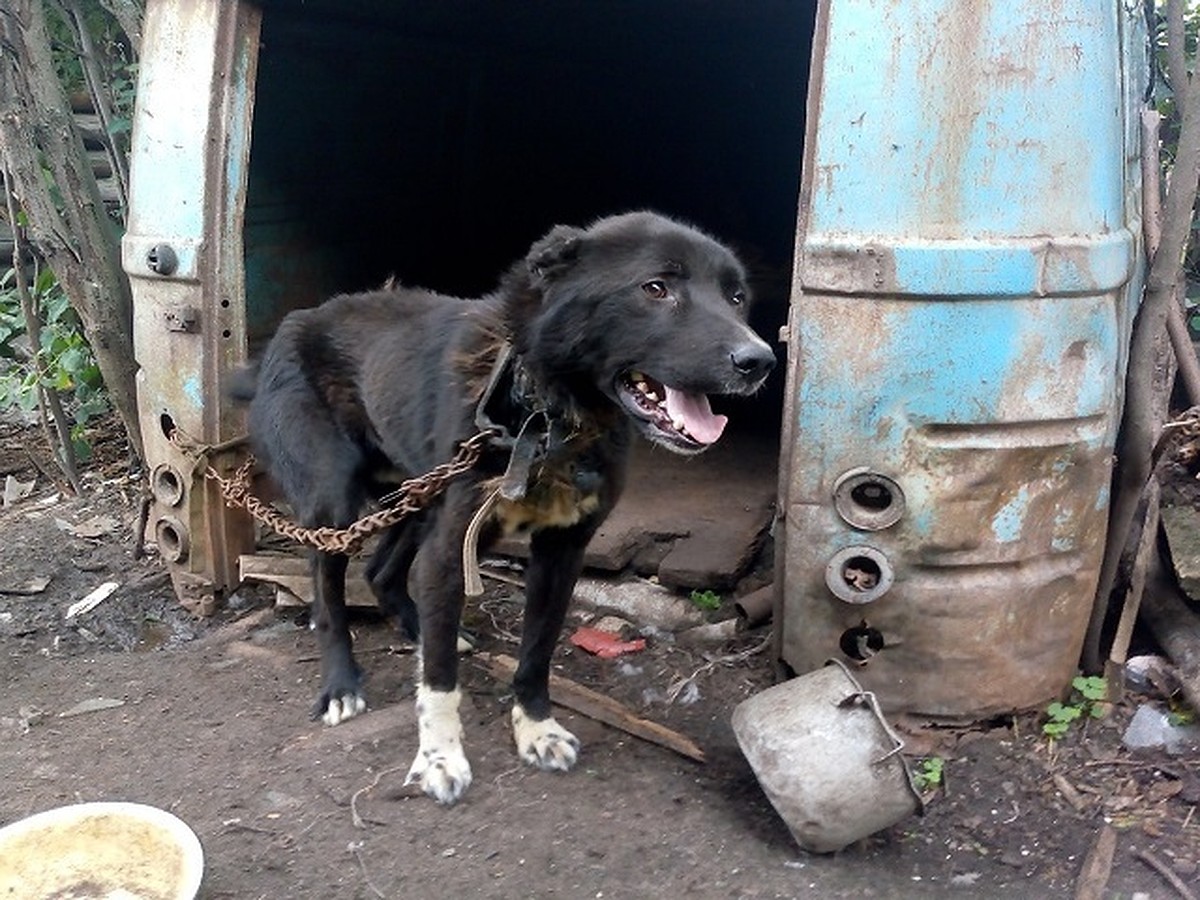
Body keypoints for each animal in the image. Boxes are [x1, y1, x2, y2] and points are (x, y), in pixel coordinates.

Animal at [238, 213, 772, 811]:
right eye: (656, 287)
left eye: (736, 297)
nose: (759, 361)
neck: (547, 417)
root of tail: (296, 320)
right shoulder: (453, 547)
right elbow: (440, 682)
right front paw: (439, 758)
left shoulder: (561, 552)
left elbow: (537, 652)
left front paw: (535, 728)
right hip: (334, 499)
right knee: (328, 591)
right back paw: (341, 684)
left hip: (423, 497)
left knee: (380, 571)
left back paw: (422, 627)